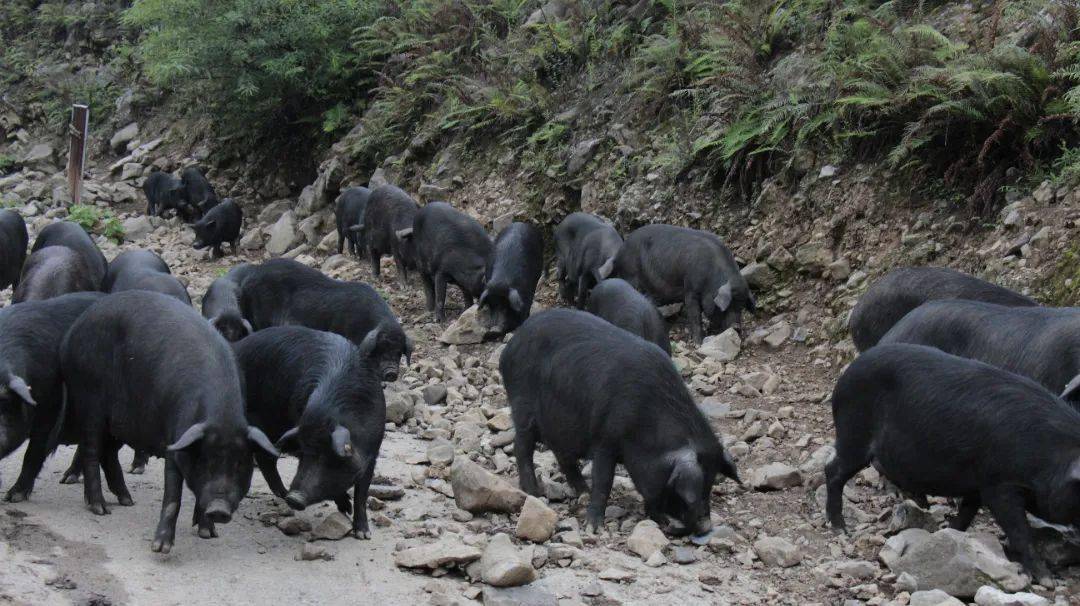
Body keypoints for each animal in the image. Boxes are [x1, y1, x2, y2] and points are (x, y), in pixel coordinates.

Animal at [234, 326, 386, 537]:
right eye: (304, 452)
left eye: (329, 456)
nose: (295, 498)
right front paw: (346, 507)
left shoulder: (373, 451)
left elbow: (362, 493)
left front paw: (362, 534)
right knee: (264, 457)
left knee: (266, 458)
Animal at [498, 311, 738, 533]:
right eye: (687, 492)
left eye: (710, 485)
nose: (707, 527)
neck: (647, 425)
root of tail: (509, 348)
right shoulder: (605, 438)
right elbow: (604, 480)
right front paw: (593, 528)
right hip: (522, 406)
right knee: (521, 446)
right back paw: (534, 492)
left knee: (562, 456)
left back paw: (582, 492)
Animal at [825, 343, 1080, 583]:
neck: (1050, 457)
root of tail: (845, 376)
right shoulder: (1000, 484)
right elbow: (1019, 531)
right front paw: (1047, 580)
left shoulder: (978, 481)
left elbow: (967, 512)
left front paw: (949, 533)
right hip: (854, 433)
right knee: (833, 471)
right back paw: (841, 529)